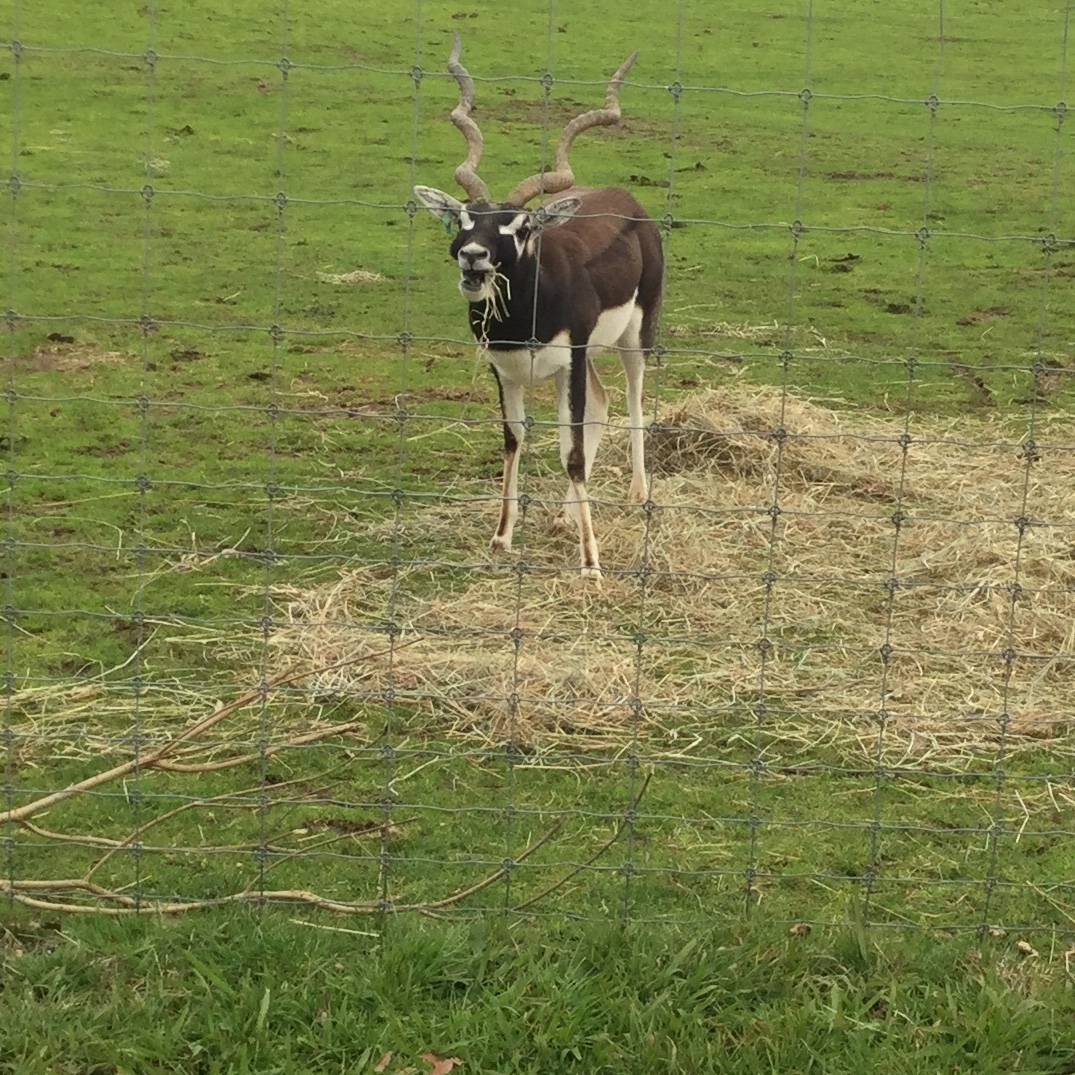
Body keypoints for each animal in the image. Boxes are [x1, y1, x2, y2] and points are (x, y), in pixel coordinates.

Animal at [413, 36, 664, 580]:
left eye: (521, 226)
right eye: (465, 219)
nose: (473, 255)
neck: (523, 316)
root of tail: (628, 201)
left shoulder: (569, 360)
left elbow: (571, 453)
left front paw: (591, 565)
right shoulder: (506, 370)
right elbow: (515, 440)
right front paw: (502, 537)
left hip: (634, 336)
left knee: (633, 399)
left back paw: (637, 493)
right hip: (584, 360)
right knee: (600, 406)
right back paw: (564, 518)